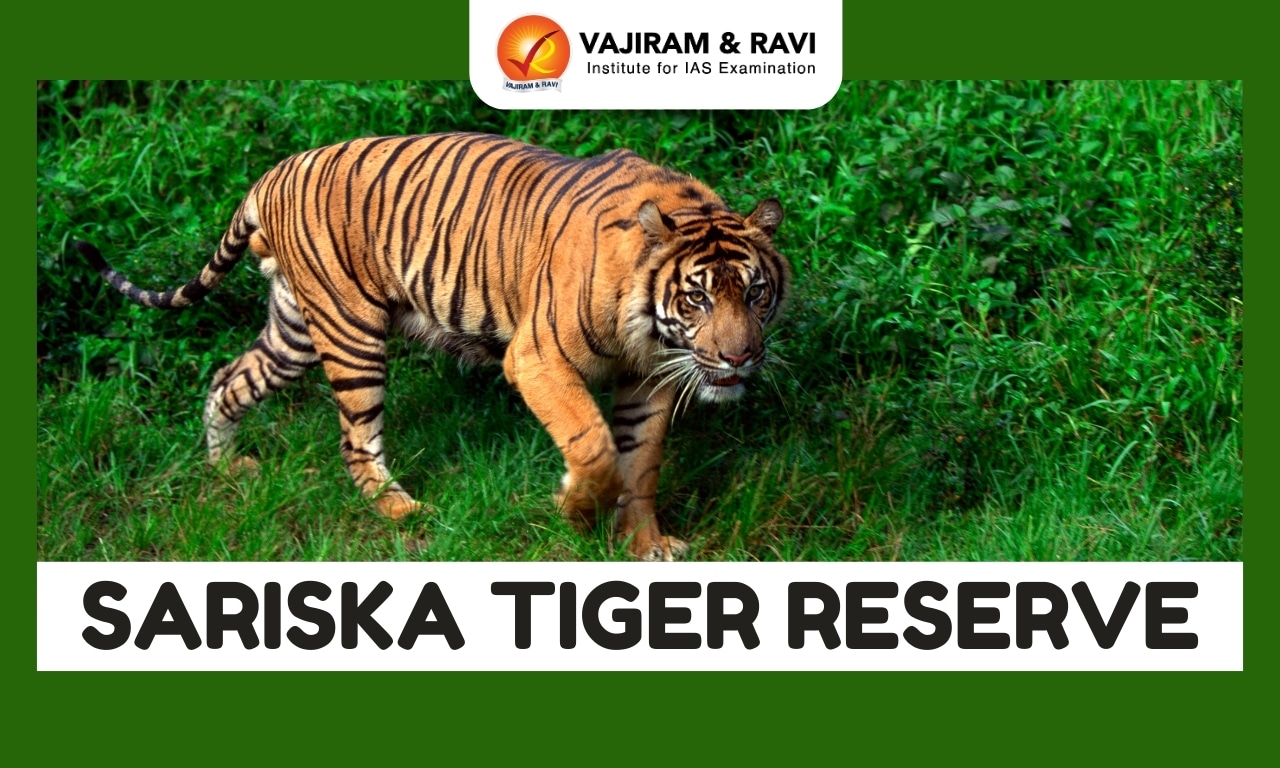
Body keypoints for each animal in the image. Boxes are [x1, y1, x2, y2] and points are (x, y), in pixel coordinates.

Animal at [75, 132, 790, 561]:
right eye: (697, 299)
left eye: (755, 293)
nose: (739, 358)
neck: (651, 330)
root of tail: (271, 175)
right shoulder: (537, 356)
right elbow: (594, 446)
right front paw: (573, 510)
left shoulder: (652, 377)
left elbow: (641, 465)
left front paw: (646, 545)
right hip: (350, 332)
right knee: (355, 440)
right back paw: (401, 509)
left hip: (294, 331)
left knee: (228, 379)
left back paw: (228, 467)